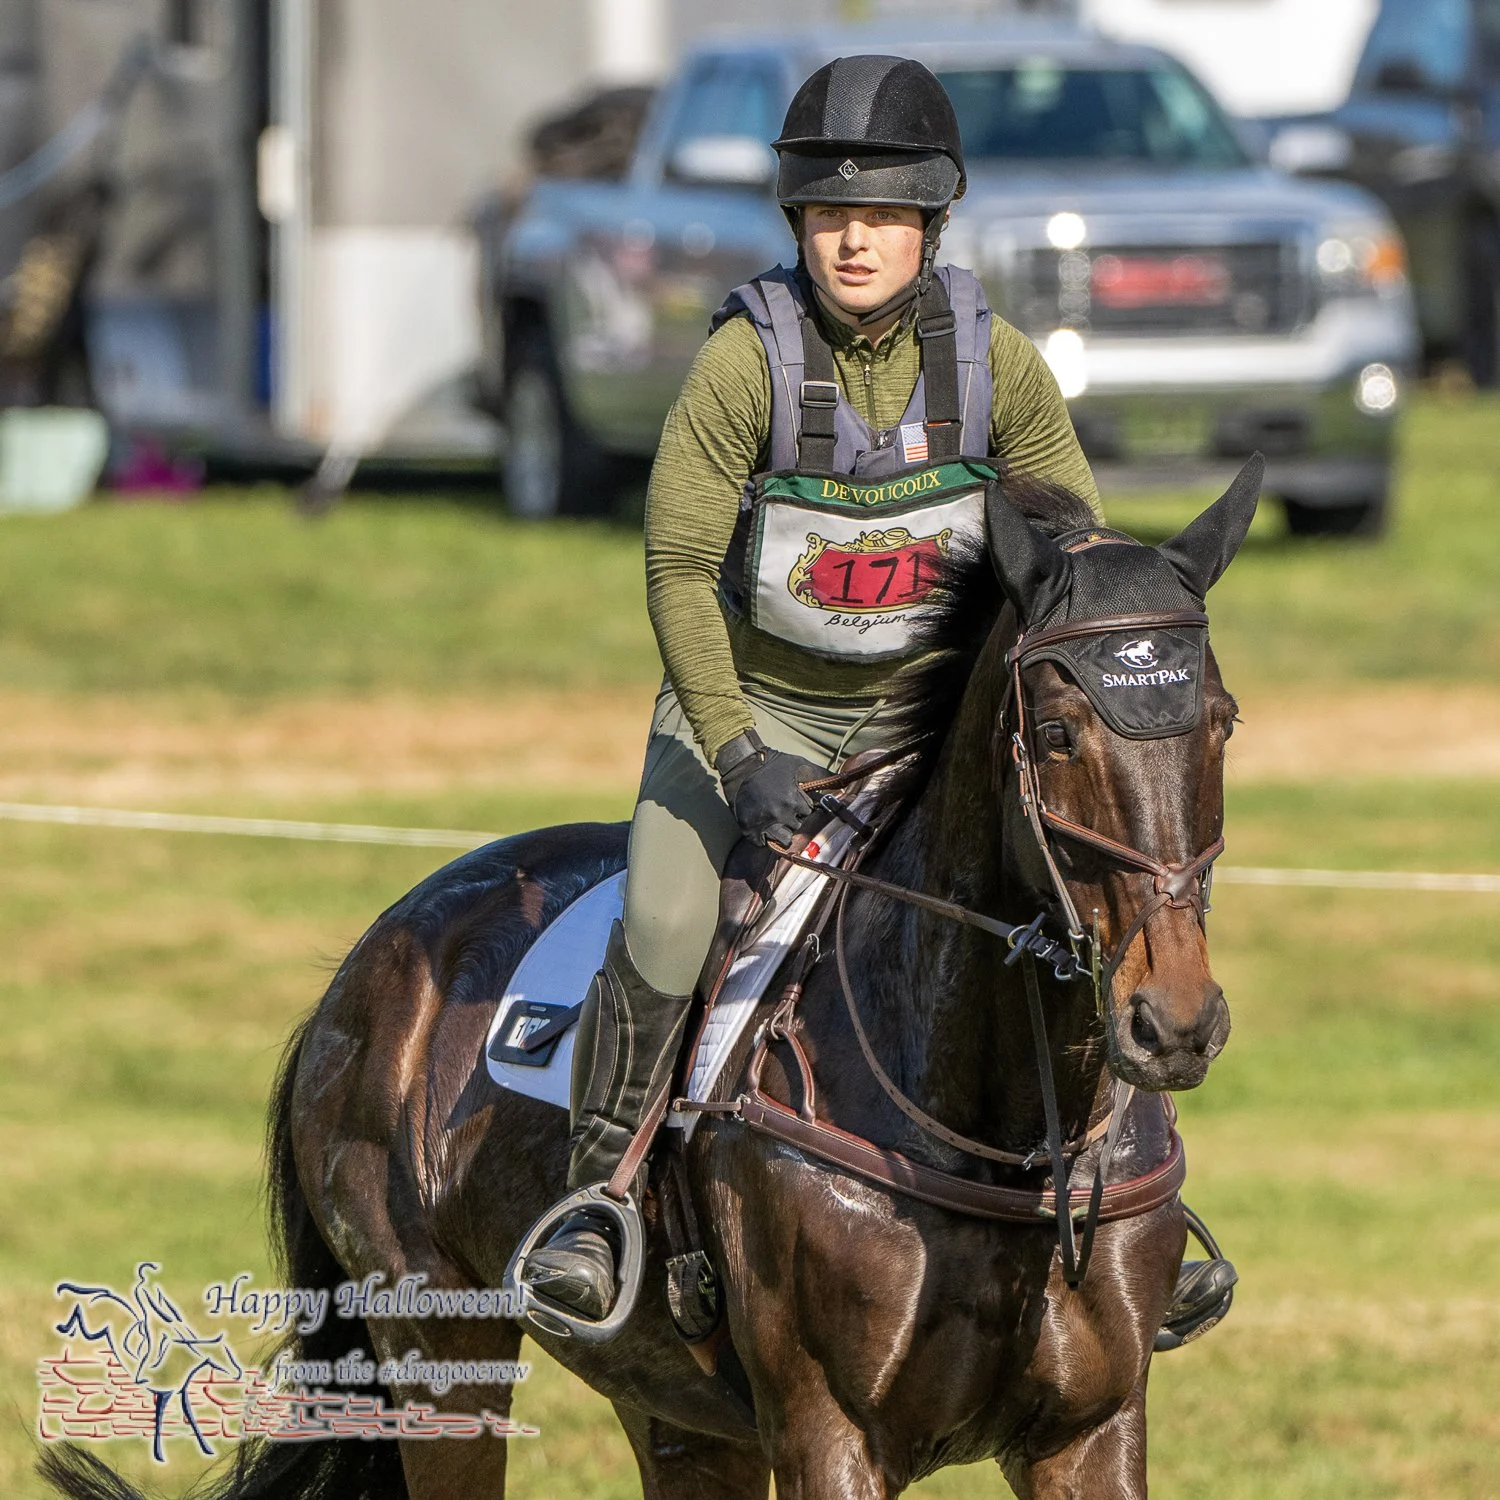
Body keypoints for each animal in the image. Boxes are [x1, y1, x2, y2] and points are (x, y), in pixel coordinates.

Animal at [40, 458, 1260, 1500]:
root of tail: (367, 968)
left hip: (676, 1409)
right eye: (1055, 732)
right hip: (442, 1353)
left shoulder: (1089, 1432)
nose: (1173, 1024)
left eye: (1222, 722)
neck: (999, 1127)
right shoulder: (829, 1430)